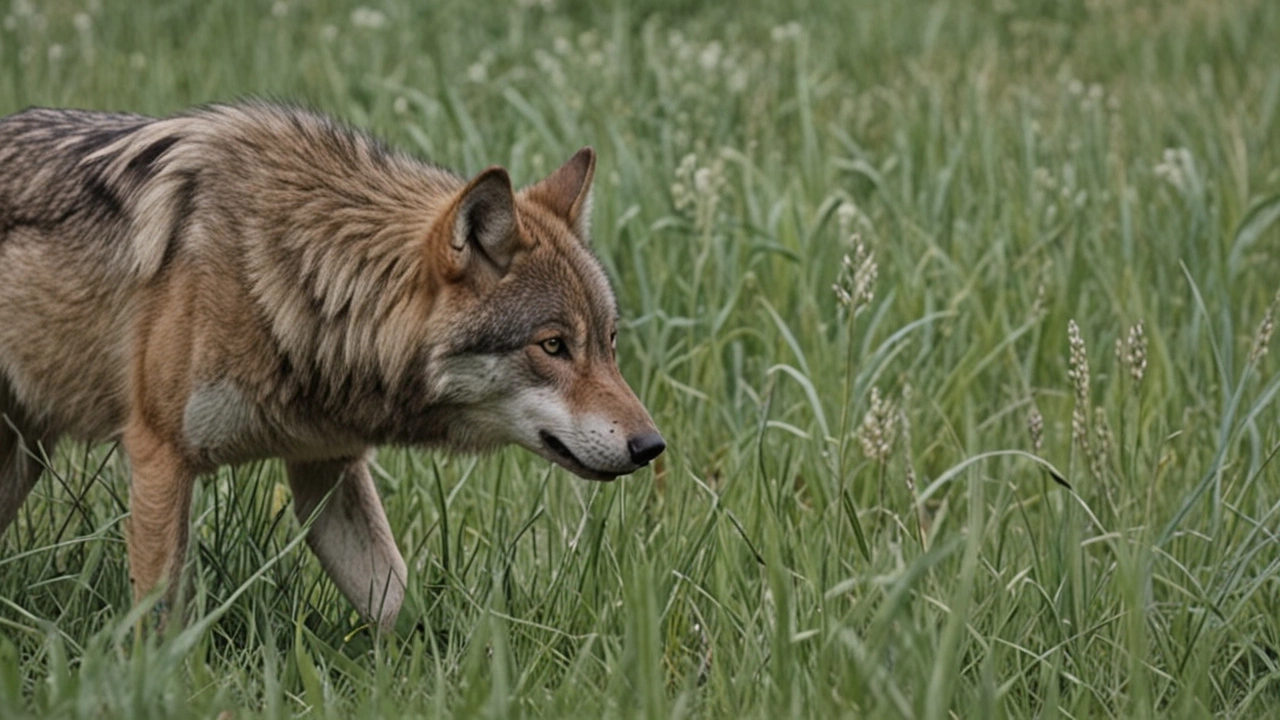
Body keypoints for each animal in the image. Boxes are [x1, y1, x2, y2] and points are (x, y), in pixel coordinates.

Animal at [2, 102, 670, 627]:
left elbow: (400, 610)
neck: (292, 275)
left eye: (608, 342)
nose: (652, 446)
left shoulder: (328, 470)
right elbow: (160, 623)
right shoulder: (159, 455)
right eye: (553, 346)